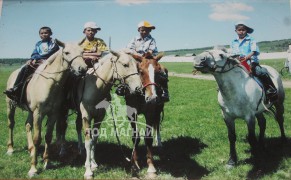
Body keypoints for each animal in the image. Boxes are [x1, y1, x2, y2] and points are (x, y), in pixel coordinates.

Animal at [5, 39, 88, 177]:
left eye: (82, 52)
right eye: (66, 52)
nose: (83, 69)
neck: (49, 84)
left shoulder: (53, 114)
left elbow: (48, 137)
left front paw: (47, 162)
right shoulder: (38, 114)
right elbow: (37, 139)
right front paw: (33, 168)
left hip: (30, 111)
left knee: (27, 125)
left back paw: (30, 149)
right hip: (10, 105)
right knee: (11, 124)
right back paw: (10, 149)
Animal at [72, 50, 144, 179]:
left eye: (137, 66)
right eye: (125, 65)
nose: (138, 88)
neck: (96, 89)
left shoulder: (99, 117)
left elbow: (94, 140)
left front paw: (93, 163)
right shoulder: (87, 117)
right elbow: (88, 142)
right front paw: (88, 170)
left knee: (77, 125)